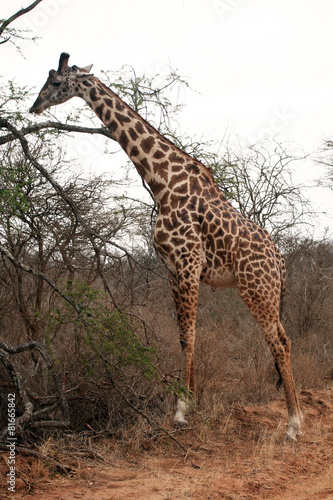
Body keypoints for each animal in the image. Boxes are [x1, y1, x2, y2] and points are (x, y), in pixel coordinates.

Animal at [30, 52, 300, 440]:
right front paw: (190, 405)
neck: (162, 182)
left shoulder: (188, 263)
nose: (34, 105)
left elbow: (189, 335)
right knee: (284, 338)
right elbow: (185, 337)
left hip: (256, 288)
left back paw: (293, 425)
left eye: (54, 82)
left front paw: (181, 411)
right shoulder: (172, 270)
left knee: (279, 342)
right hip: (264, 290)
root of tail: (280, 259)